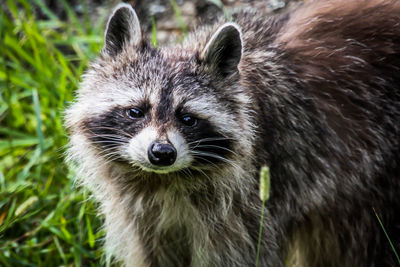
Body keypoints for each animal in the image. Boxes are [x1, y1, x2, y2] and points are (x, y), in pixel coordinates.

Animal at [65, 1, 400, 266]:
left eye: (188, 119)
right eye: (136, 111)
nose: (161, 153)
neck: (165, 181)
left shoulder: (249, 207)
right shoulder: (143, 215)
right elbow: (154, 253)